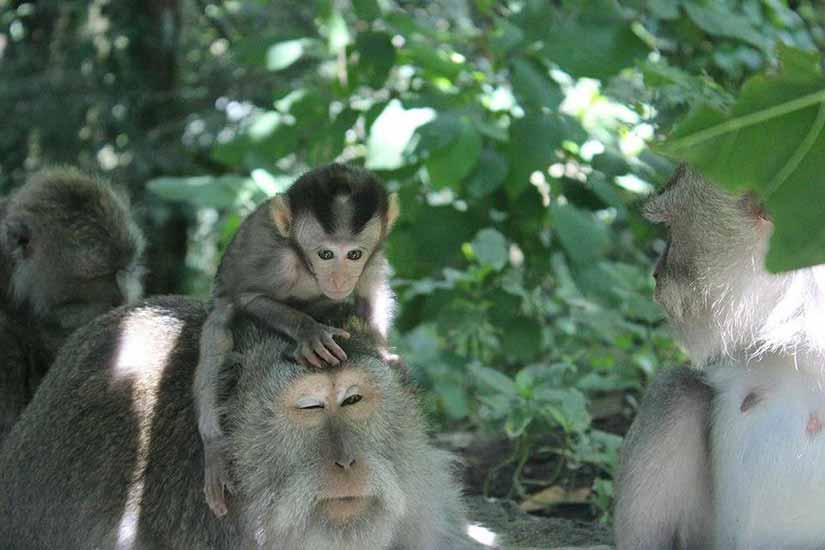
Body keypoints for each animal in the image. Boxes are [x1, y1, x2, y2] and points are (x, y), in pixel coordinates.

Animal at [194, 163, 400, 516]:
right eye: (326, 254)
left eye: (354, 254)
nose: (339, 279)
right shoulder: (279, 262)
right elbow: (248, 298)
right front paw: (309, 331)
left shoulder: (372, 258)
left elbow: (372, 292)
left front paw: (380, 348)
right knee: (220, 328)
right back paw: (215, 447)